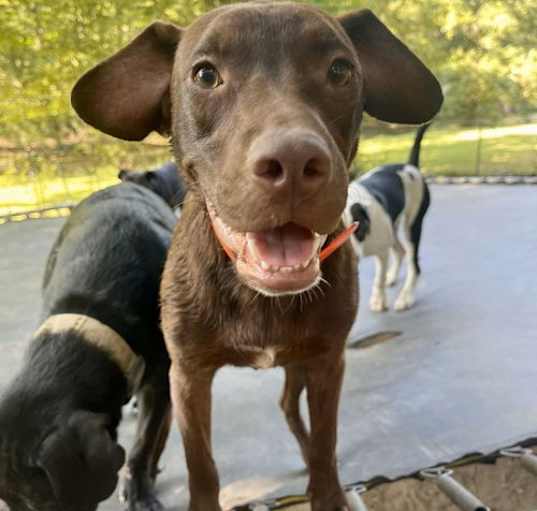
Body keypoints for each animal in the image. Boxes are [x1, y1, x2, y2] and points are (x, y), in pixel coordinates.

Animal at [346, 123, 430, 312]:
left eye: (356, 227)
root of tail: (409, 166)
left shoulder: (382, 252)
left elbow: (379, 279)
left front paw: (378, 300)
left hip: (412, 226)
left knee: (414, 265)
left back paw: (405, 297)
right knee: (400, 251)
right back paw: (392, 277)